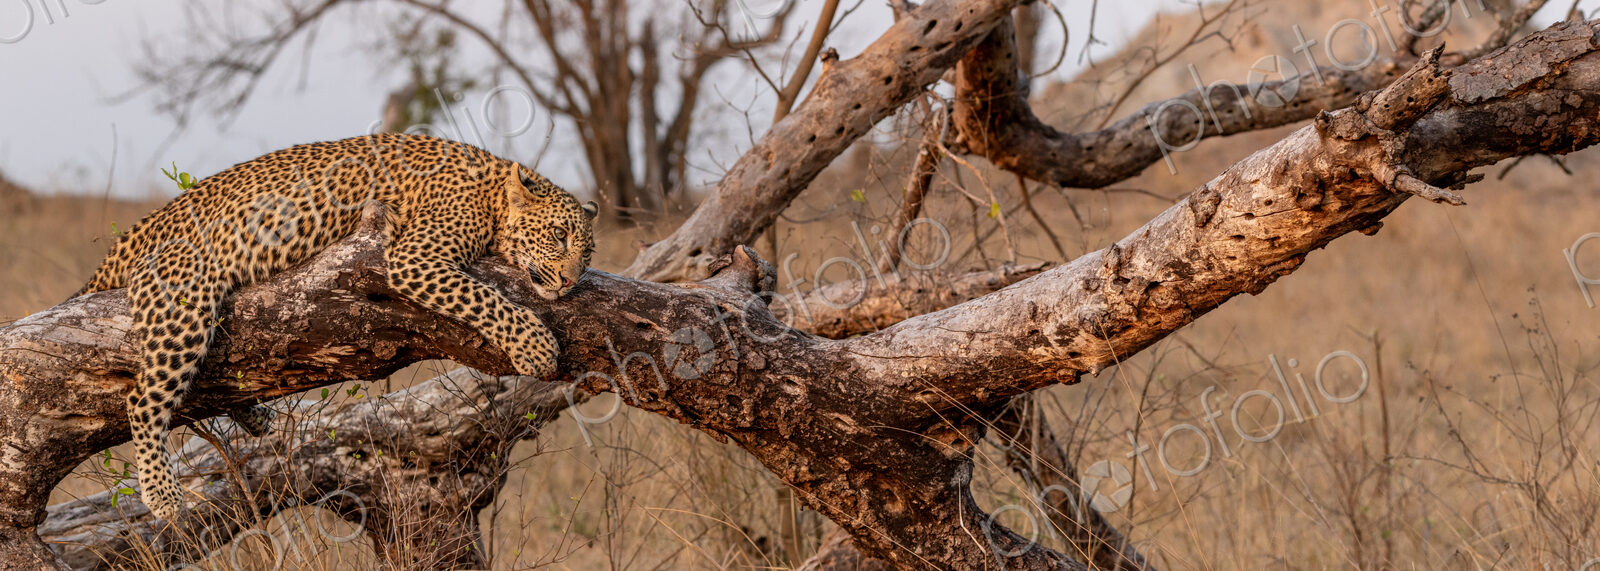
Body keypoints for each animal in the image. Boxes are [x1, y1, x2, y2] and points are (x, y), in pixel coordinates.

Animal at [72, 132, 597, 520]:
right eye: (558, 235)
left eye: (588, 253)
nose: (570, 281)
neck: (492, 193)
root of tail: (129, 238)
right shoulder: (415, 257)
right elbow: (485, 298)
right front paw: (536, 346)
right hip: (184, 302)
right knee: (143, 397)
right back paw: (161, 493)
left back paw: (254, 417)